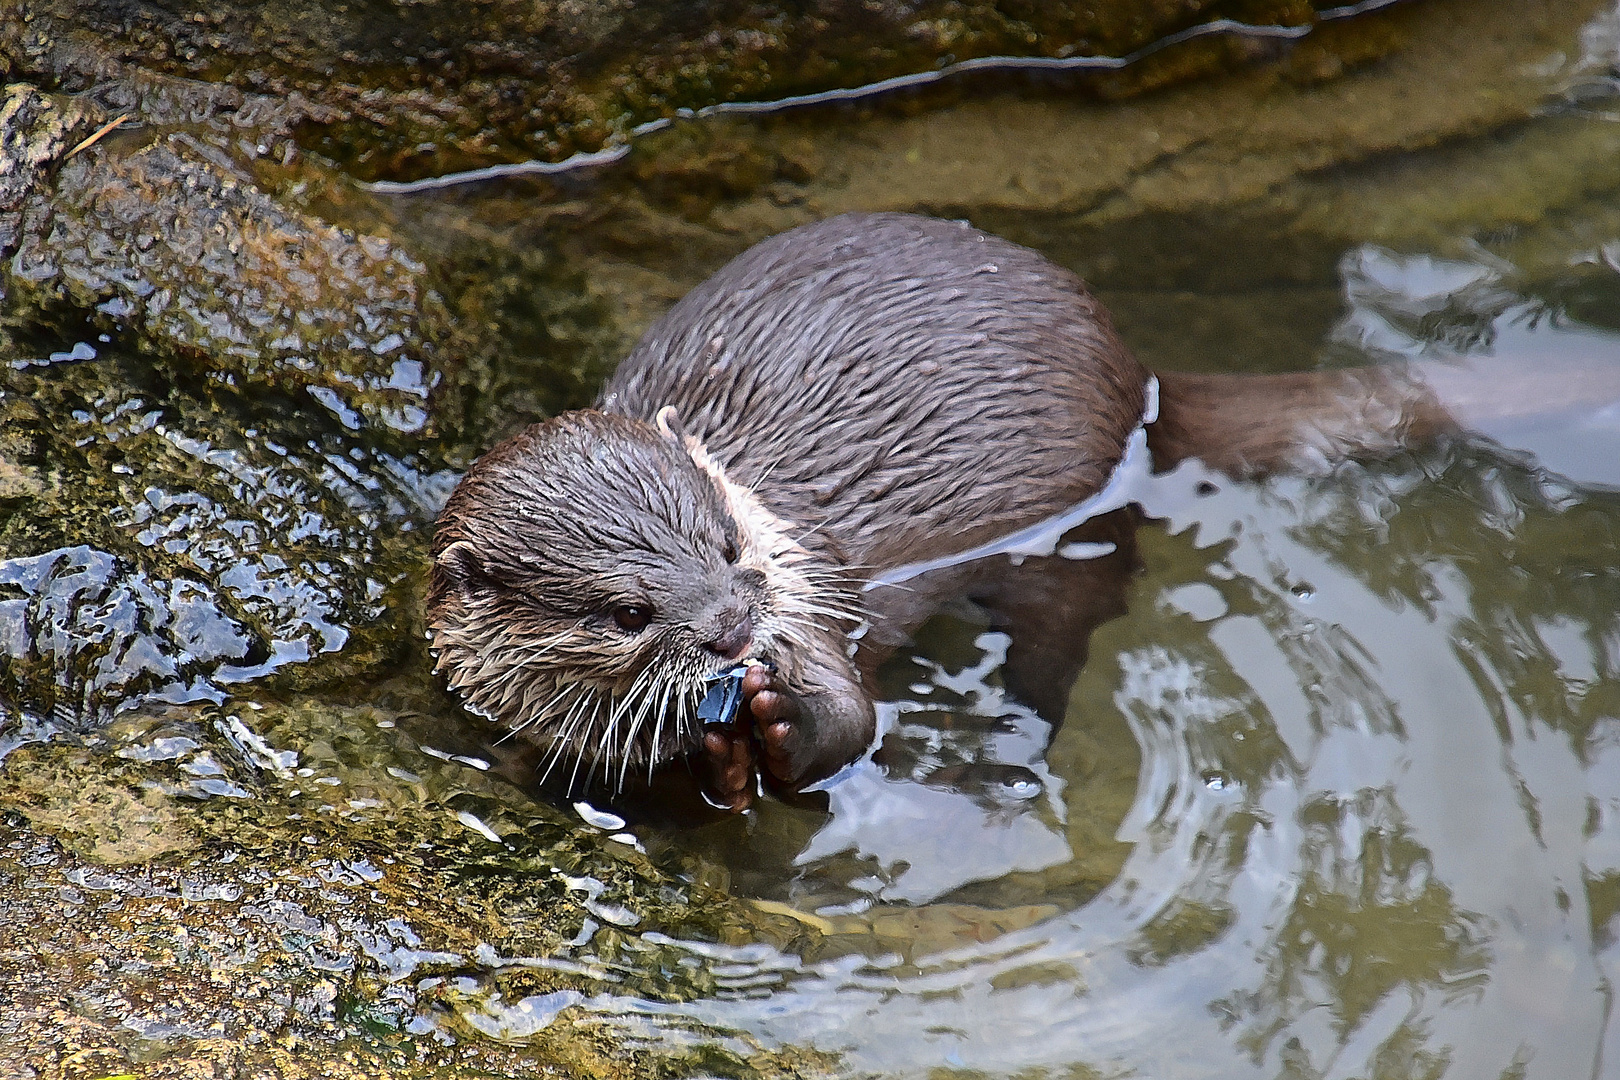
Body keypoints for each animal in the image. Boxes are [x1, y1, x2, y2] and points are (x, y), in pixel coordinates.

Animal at [424, 210, 1477, 809]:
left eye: (726, 545)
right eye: (626, 612)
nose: (731, 629)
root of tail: (1140, 383)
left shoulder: (812, 606)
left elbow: (853, 722)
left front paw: (784, 721)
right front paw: (723, 759)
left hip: (1075, 540)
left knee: (1058, 652)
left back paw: (995, 757)